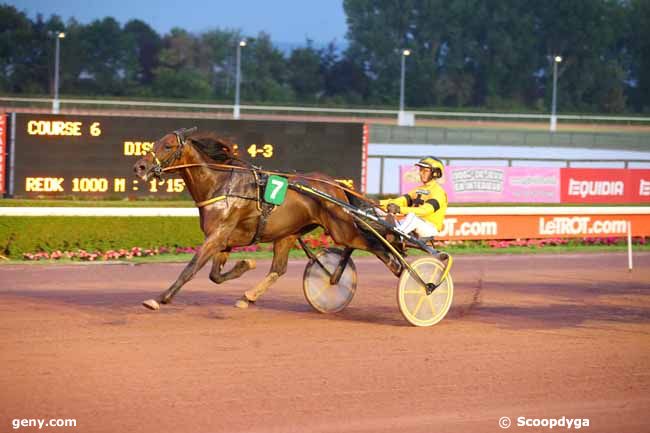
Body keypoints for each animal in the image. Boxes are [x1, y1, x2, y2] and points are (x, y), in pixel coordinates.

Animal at [133, 125, 400, 310]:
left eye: (168, 146)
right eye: (155, 143)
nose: (140, 167)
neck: (220, 185)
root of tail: (335, 185)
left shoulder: (217, 236)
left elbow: (191, 268)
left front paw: (160, 298)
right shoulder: (224, 240)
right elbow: (215, 276)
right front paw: (245, 265)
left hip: (341, 228)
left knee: (376, 245)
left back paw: (402, 272)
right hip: (289, 233)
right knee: (279, 269)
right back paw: (251, 295)